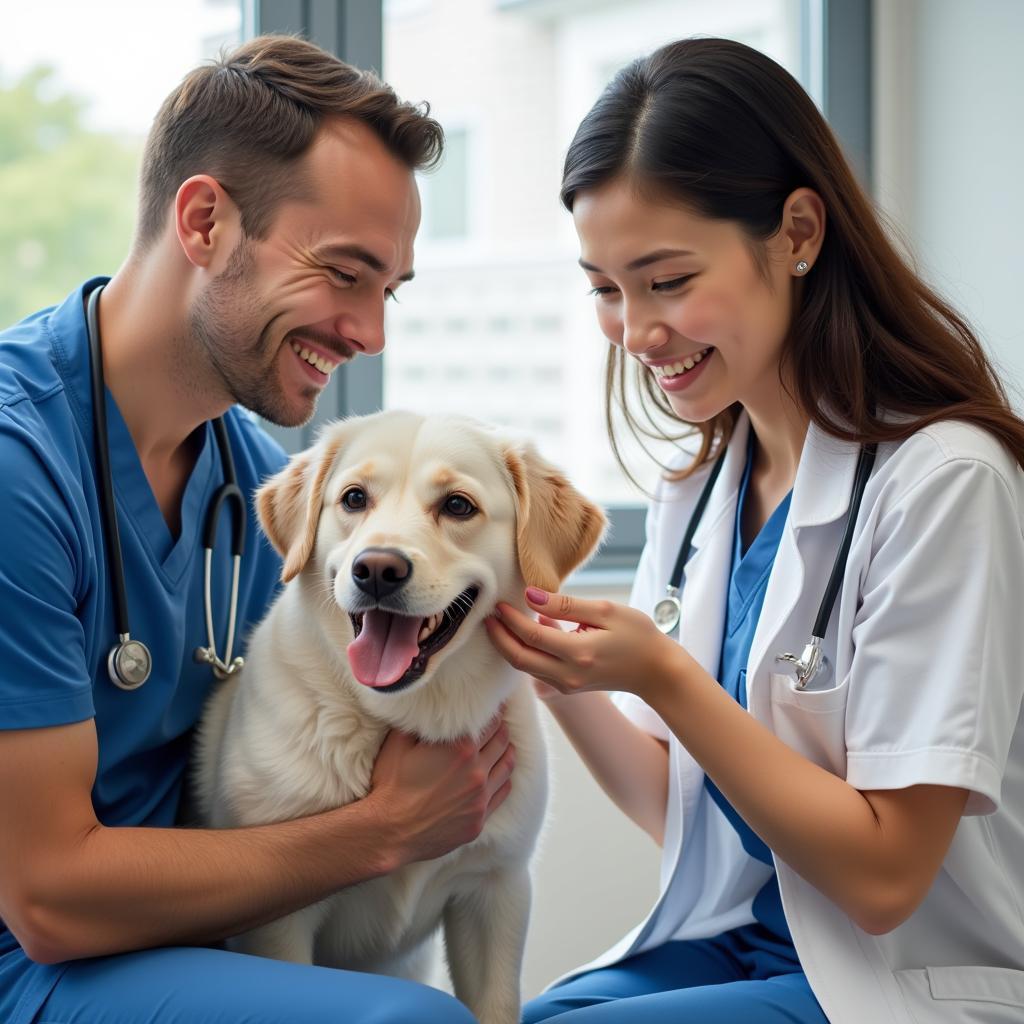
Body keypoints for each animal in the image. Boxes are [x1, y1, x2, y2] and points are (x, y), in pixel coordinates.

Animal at [195, 409, 602, 1024]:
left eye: (458, 505)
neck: (405, 716)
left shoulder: (497, 891)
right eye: (354, 498)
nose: (377, 569)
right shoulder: (278, 927)